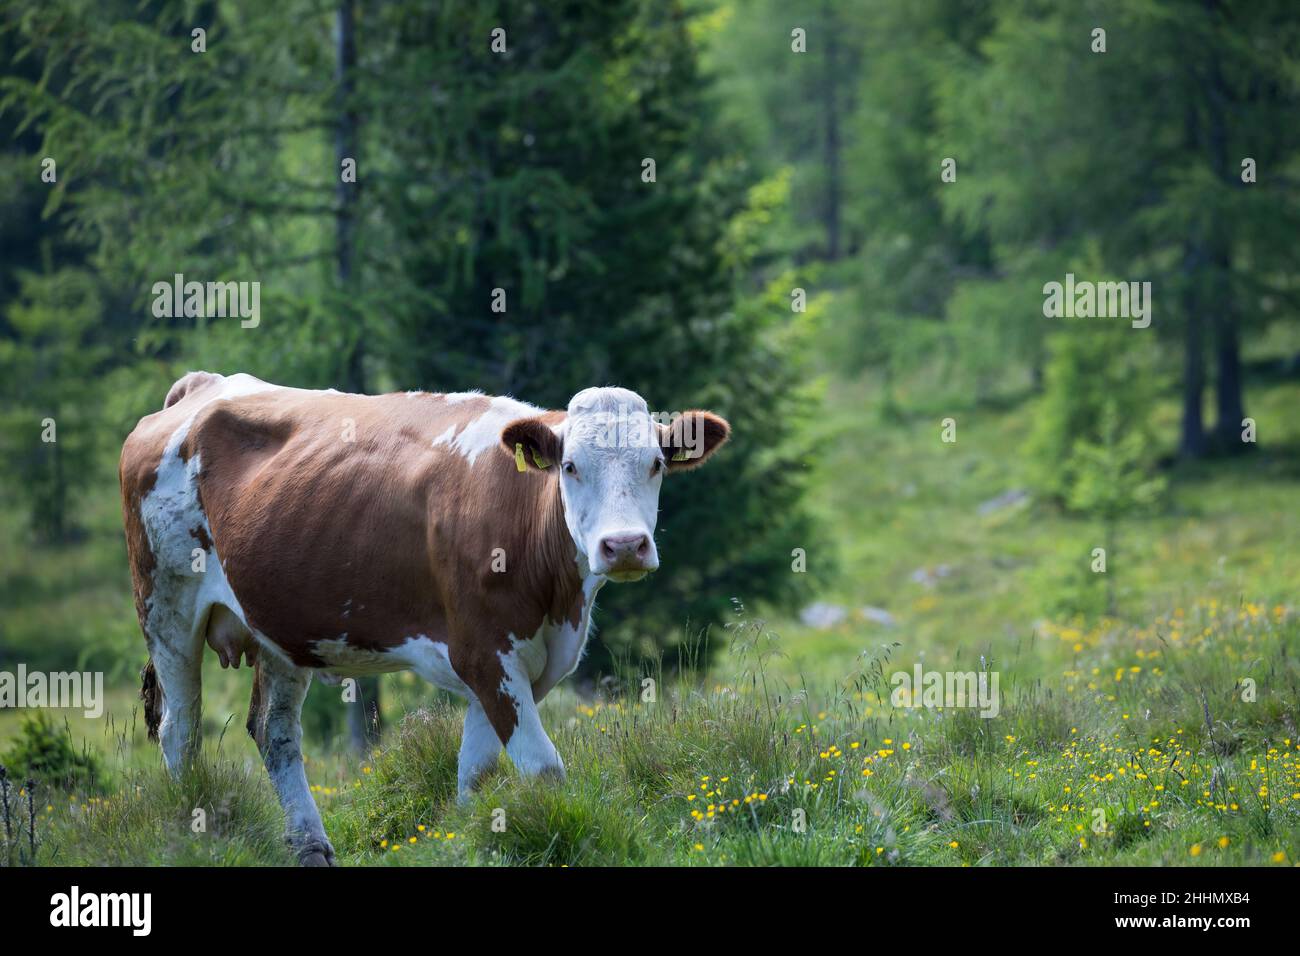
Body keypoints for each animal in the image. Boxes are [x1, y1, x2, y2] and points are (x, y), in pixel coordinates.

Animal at [119, 374, 733, 868]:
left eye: (655, 464)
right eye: (570, 466)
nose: (624, 545)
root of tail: (205, 385)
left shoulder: (512, 665)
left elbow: (477, 779)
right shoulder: (484, 653)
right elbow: (542, 769)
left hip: (279, 627)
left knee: (275, 732)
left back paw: (312, 847)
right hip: (166, 605)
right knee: (181, 730)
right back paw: (196, 838)